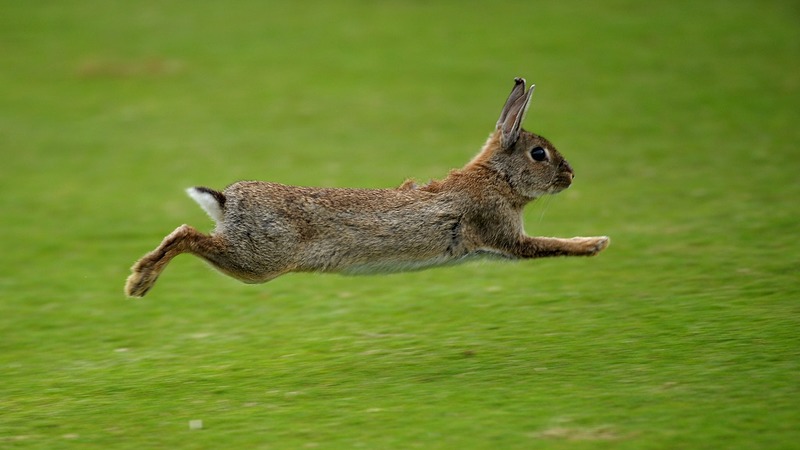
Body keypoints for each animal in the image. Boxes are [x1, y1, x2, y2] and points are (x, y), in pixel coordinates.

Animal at [125, 77, 608, 298]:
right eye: (539, 154)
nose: (571, 177)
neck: (497, 178)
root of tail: (228, 202)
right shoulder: (503, 234)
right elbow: (549, 246)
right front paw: (596, 244)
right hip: (259, 259)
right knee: (189, 236)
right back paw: (139, 282)